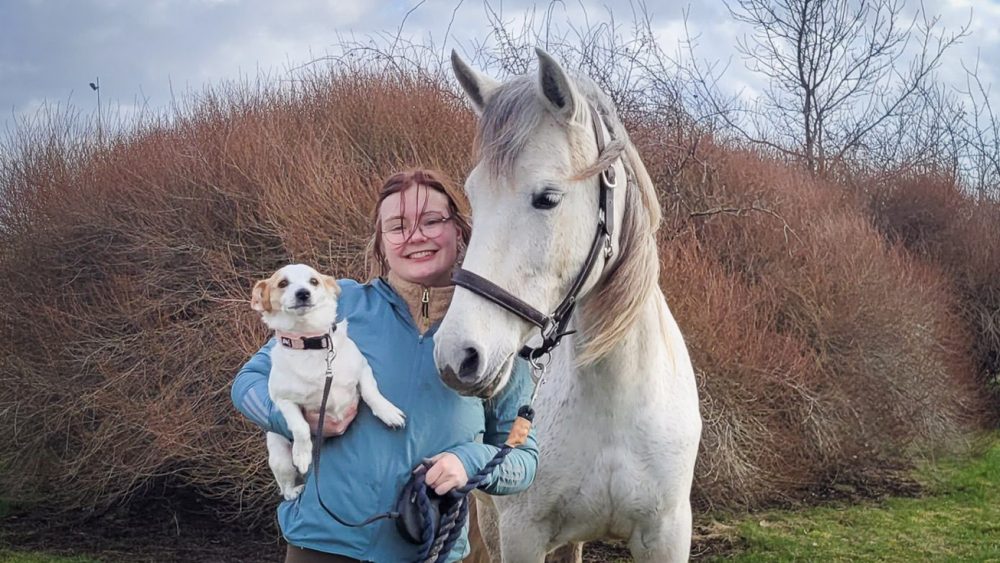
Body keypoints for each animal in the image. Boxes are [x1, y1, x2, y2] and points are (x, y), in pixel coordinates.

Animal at [250, 262, 406, 500]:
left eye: (313, 281)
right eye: (283, 283)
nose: (303, 293)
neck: (310, 343)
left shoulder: (362, 369)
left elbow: (372, 393)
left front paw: (387, 412)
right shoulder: (282, 399)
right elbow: (300, 426)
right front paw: (302, 453)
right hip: (280, 459)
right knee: (286, 490)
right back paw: (294, 489)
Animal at [436, 49, 704, 563]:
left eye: (548, 198)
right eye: (475, 195)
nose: (457, 356)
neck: (615, 400)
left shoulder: (666, 535)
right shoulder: (520, 535)